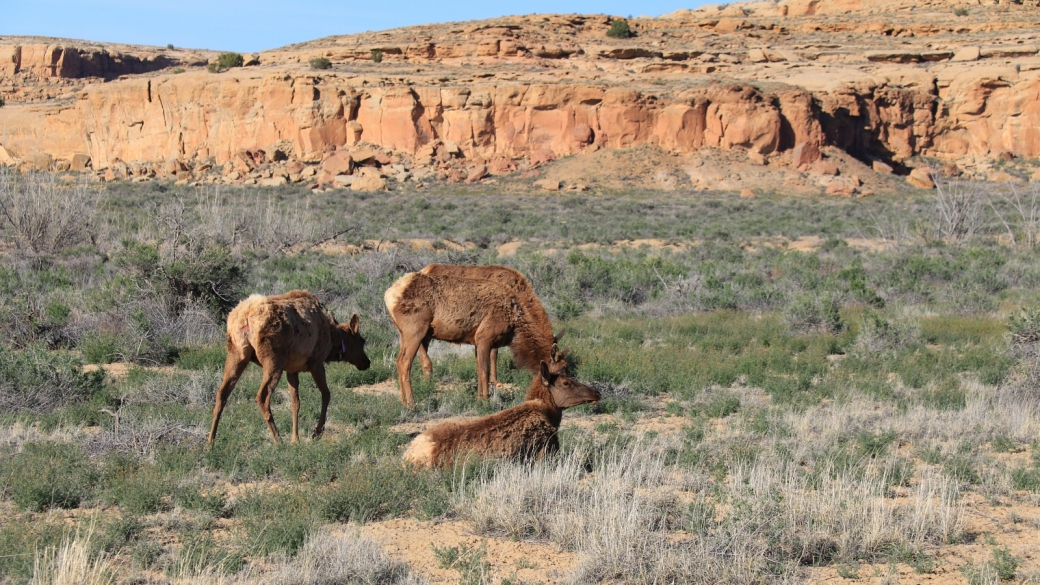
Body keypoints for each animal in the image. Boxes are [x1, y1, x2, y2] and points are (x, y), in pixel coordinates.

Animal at [205, 289, 370, 443]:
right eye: (362, 341)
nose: (367, 362)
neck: (333, 341)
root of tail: (245, 318)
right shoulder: (316, 362)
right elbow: (326, 394)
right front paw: (317, 432)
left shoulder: (292, 369)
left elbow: (295, 402)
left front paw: (295, 439)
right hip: (273, 360)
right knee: (262, 396)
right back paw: (278, 439)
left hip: (237, 354)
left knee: (222, 393)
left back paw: (210, 442)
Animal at [382, 268, 561, 405]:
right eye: (560, 370)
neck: (515, 328)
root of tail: (388, 294)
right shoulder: (484, 338)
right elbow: (485, 370)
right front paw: (486, 400)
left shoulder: (477, 341)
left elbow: (479, 369)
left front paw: (479, 397)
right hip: (415, 331)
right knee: (405, 362)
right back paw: (411, 403)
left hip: (404, 334)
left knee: (398, 361)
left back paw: (403, 401)